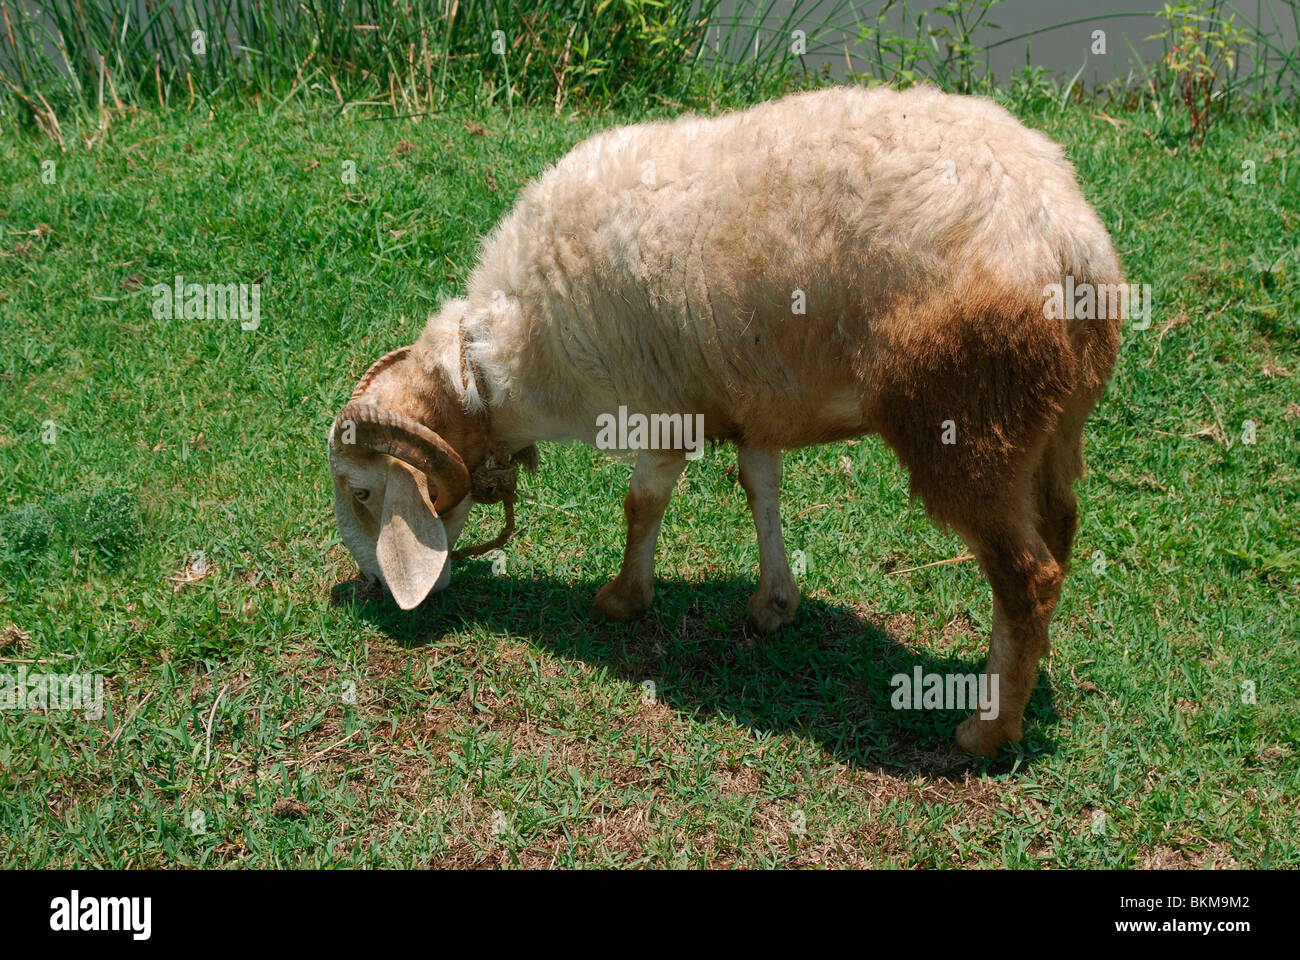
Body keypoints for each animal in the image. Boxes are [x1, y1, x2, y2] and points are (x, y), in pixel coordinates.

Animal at [328, 84, 1123, 757]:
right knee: (1059, 532)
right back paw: (1012, 682)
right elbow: (759, 488)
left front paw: (623, 599)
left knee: (1027, 577)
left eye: (364, 493)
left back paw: (986, 731)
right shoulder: (753, 406)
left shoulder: (658, 412)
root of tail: (1073, 239)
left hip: (967, 423)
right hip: (1048, 427)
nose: (369, 587)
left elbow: (641, 504)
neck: (506, 367)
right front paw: (774, 604)